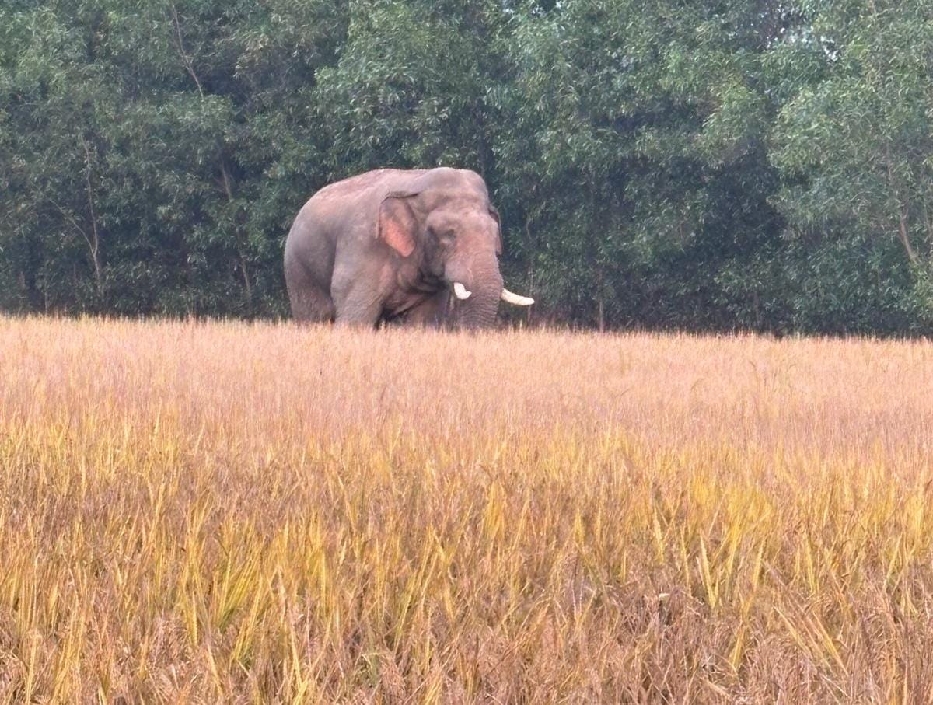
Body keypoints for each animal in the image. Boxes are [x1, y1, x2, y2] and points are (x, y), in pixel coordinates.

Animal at [283, 167, 534, 328]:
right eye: (448, 235)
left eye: (494, 234)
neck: (415, 184)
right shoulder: (362, 246)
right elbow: (355, 318)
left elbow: (423, 323)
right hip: (299, 270)